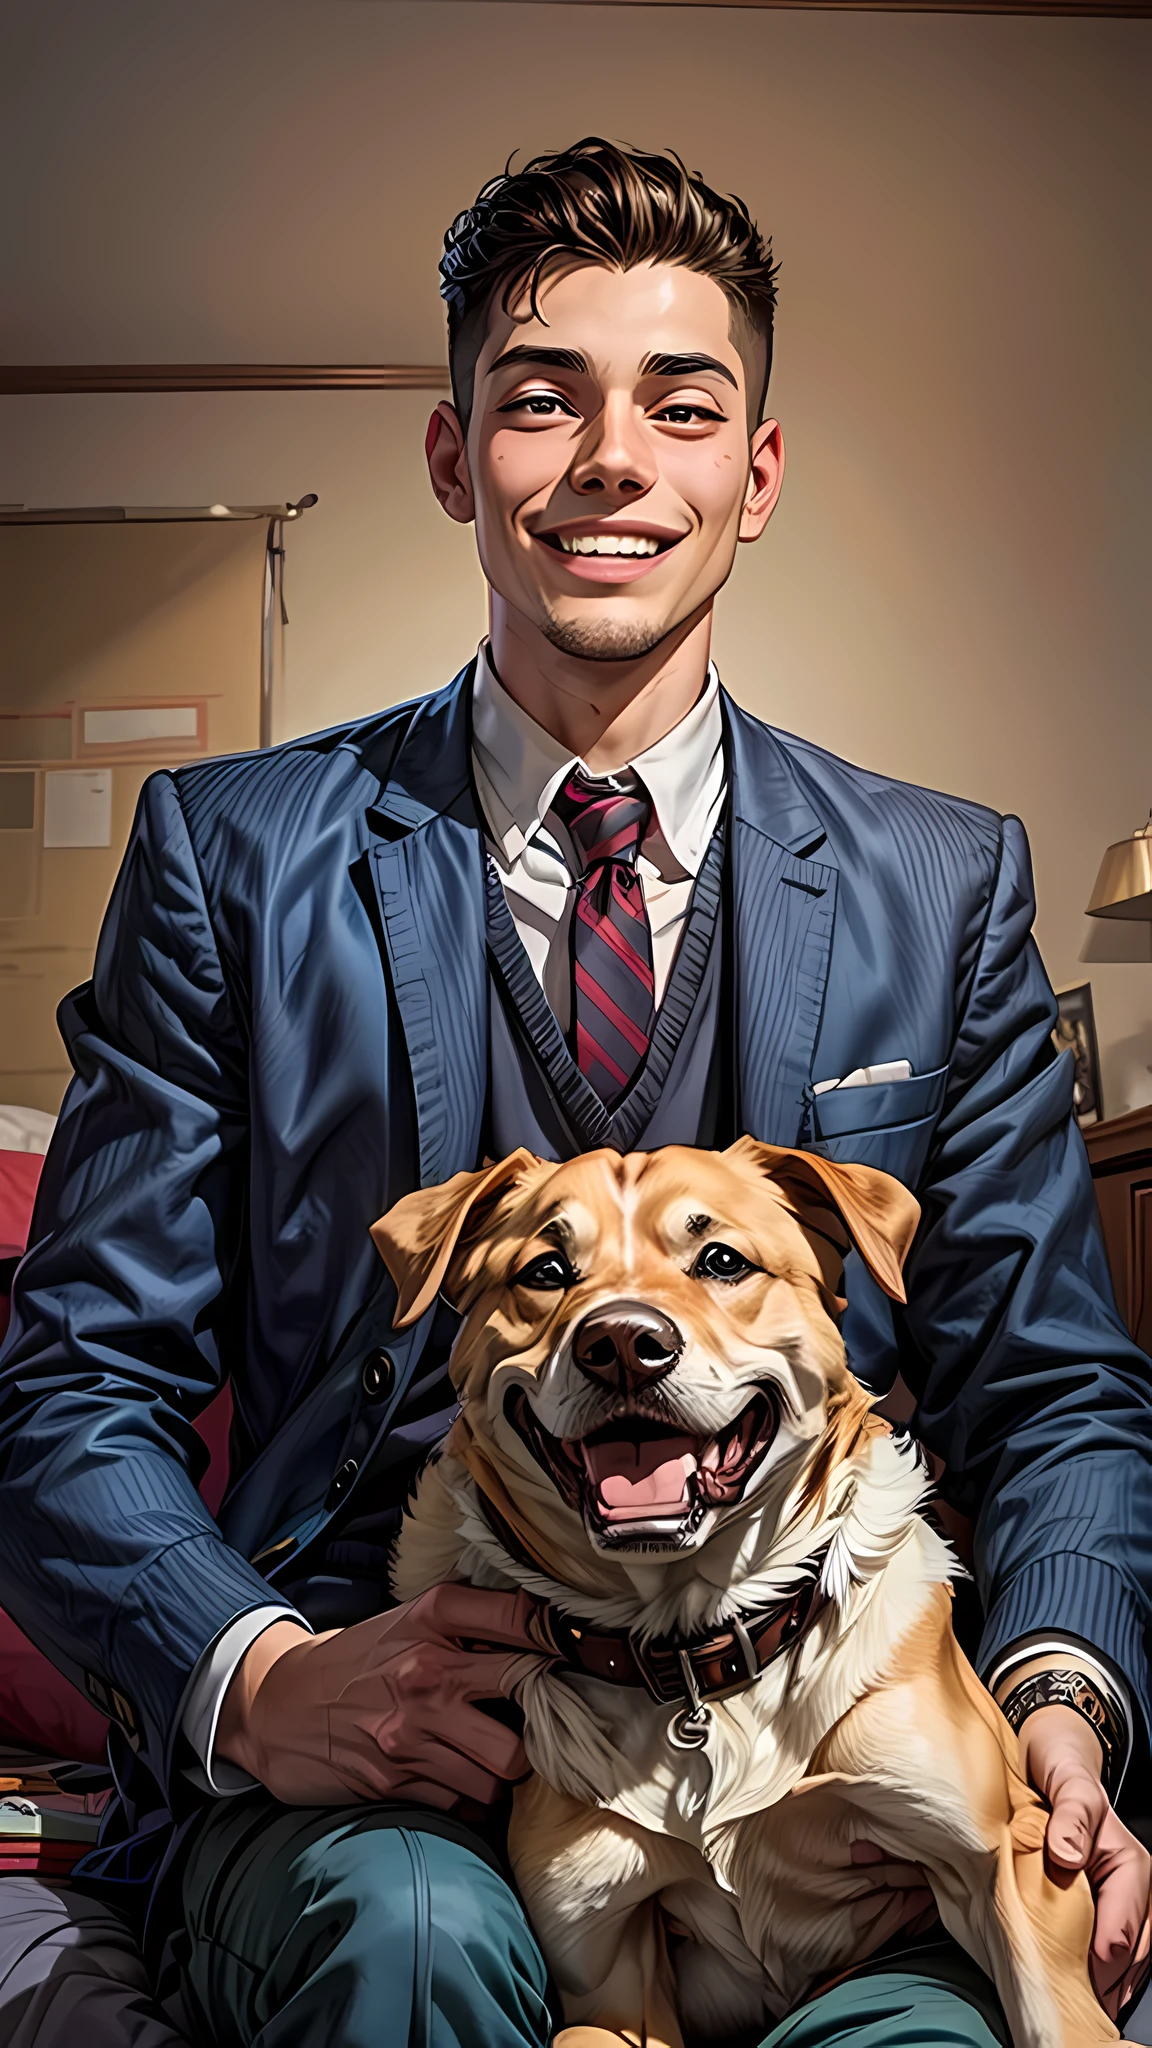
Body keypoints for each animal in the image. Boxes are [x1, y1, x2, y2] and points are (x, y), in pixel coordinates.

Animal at [373, 1138, 1106, 2048]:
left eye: (722, 1261)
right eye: (545, 1270)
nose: (622, 1341)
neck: (694, 1648)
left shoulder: (1010, 1861)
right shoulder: (604, 1967)